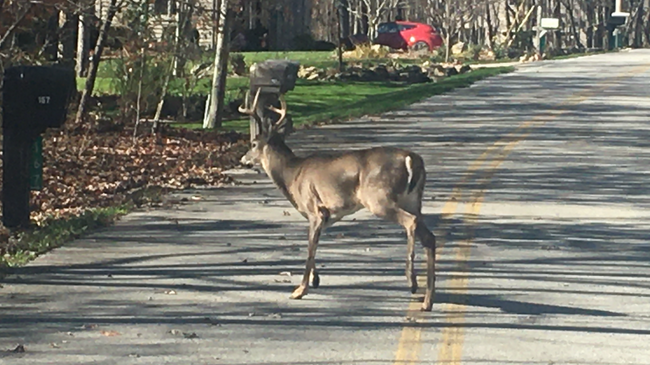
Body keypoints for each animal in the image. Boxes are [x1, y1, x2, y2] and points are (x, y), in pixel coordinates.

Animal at [238, 90, 436, 310]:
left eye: (253, 143)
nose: (242, 160)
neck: (291, 176)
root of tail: (412, 159)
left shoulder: (314, 209)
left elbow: (309, 249)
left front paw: (300, 290)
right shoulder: (325, 215)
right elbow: (313, 244)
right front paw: (315, 279)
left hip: (379, 197)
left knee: (411, 222)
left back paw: (411, 281)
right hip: (413, 200)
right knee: (429, 237)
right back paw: (427, 301)